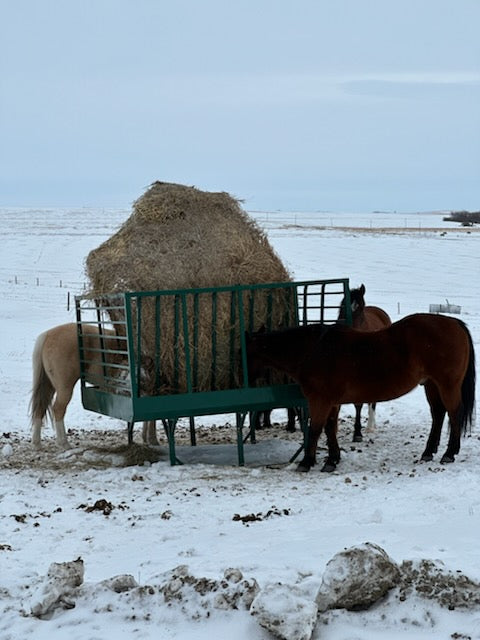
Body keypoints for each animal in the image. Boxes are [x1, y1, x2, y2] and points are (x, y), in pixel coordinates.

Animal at [30, 323, 159, 449]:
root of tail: (47, 335)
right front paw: (152, 440)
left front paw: (146, 438)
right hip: (65, 388)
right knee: (58, 409)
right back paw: (63, 443)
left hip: (48, 385)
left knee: (40, 408)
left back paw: (37, 444)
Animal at [246, 313, 475, 472]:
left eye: (243, 351)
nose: (244, 378)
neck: (314, 350)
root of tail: (454, 323)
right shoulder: (332, 402)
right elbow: (330, 428)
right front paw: (332, 459)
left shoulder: (320, 400)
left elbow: (316, 429)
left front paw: (307, 462)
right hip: (431, 385)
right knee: (438, 414)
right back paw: (428, 452)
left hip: (447, 385)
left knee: (454, 413)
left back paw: (449, 453)